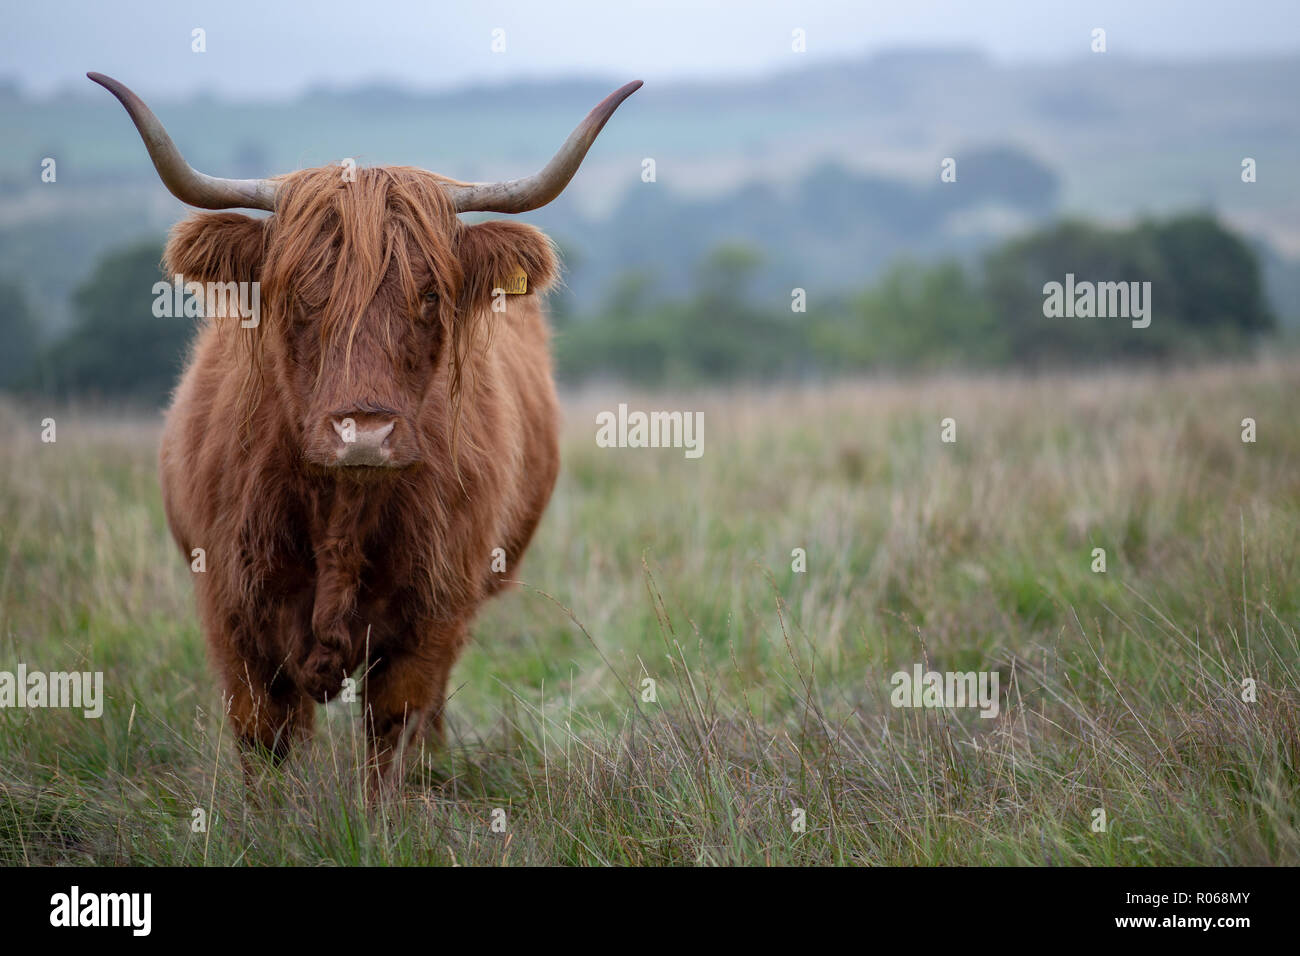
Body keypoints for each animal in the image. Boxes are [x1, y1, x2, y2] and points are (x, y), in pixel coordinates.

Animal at [90, 70, 639, 790]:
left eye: (430, 296)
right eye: (299, 292)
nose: (365, 434)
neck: (340, 508)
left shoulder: (434, 611)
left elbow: (393, 732)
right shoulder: (233, 613)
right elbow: (265, 741)